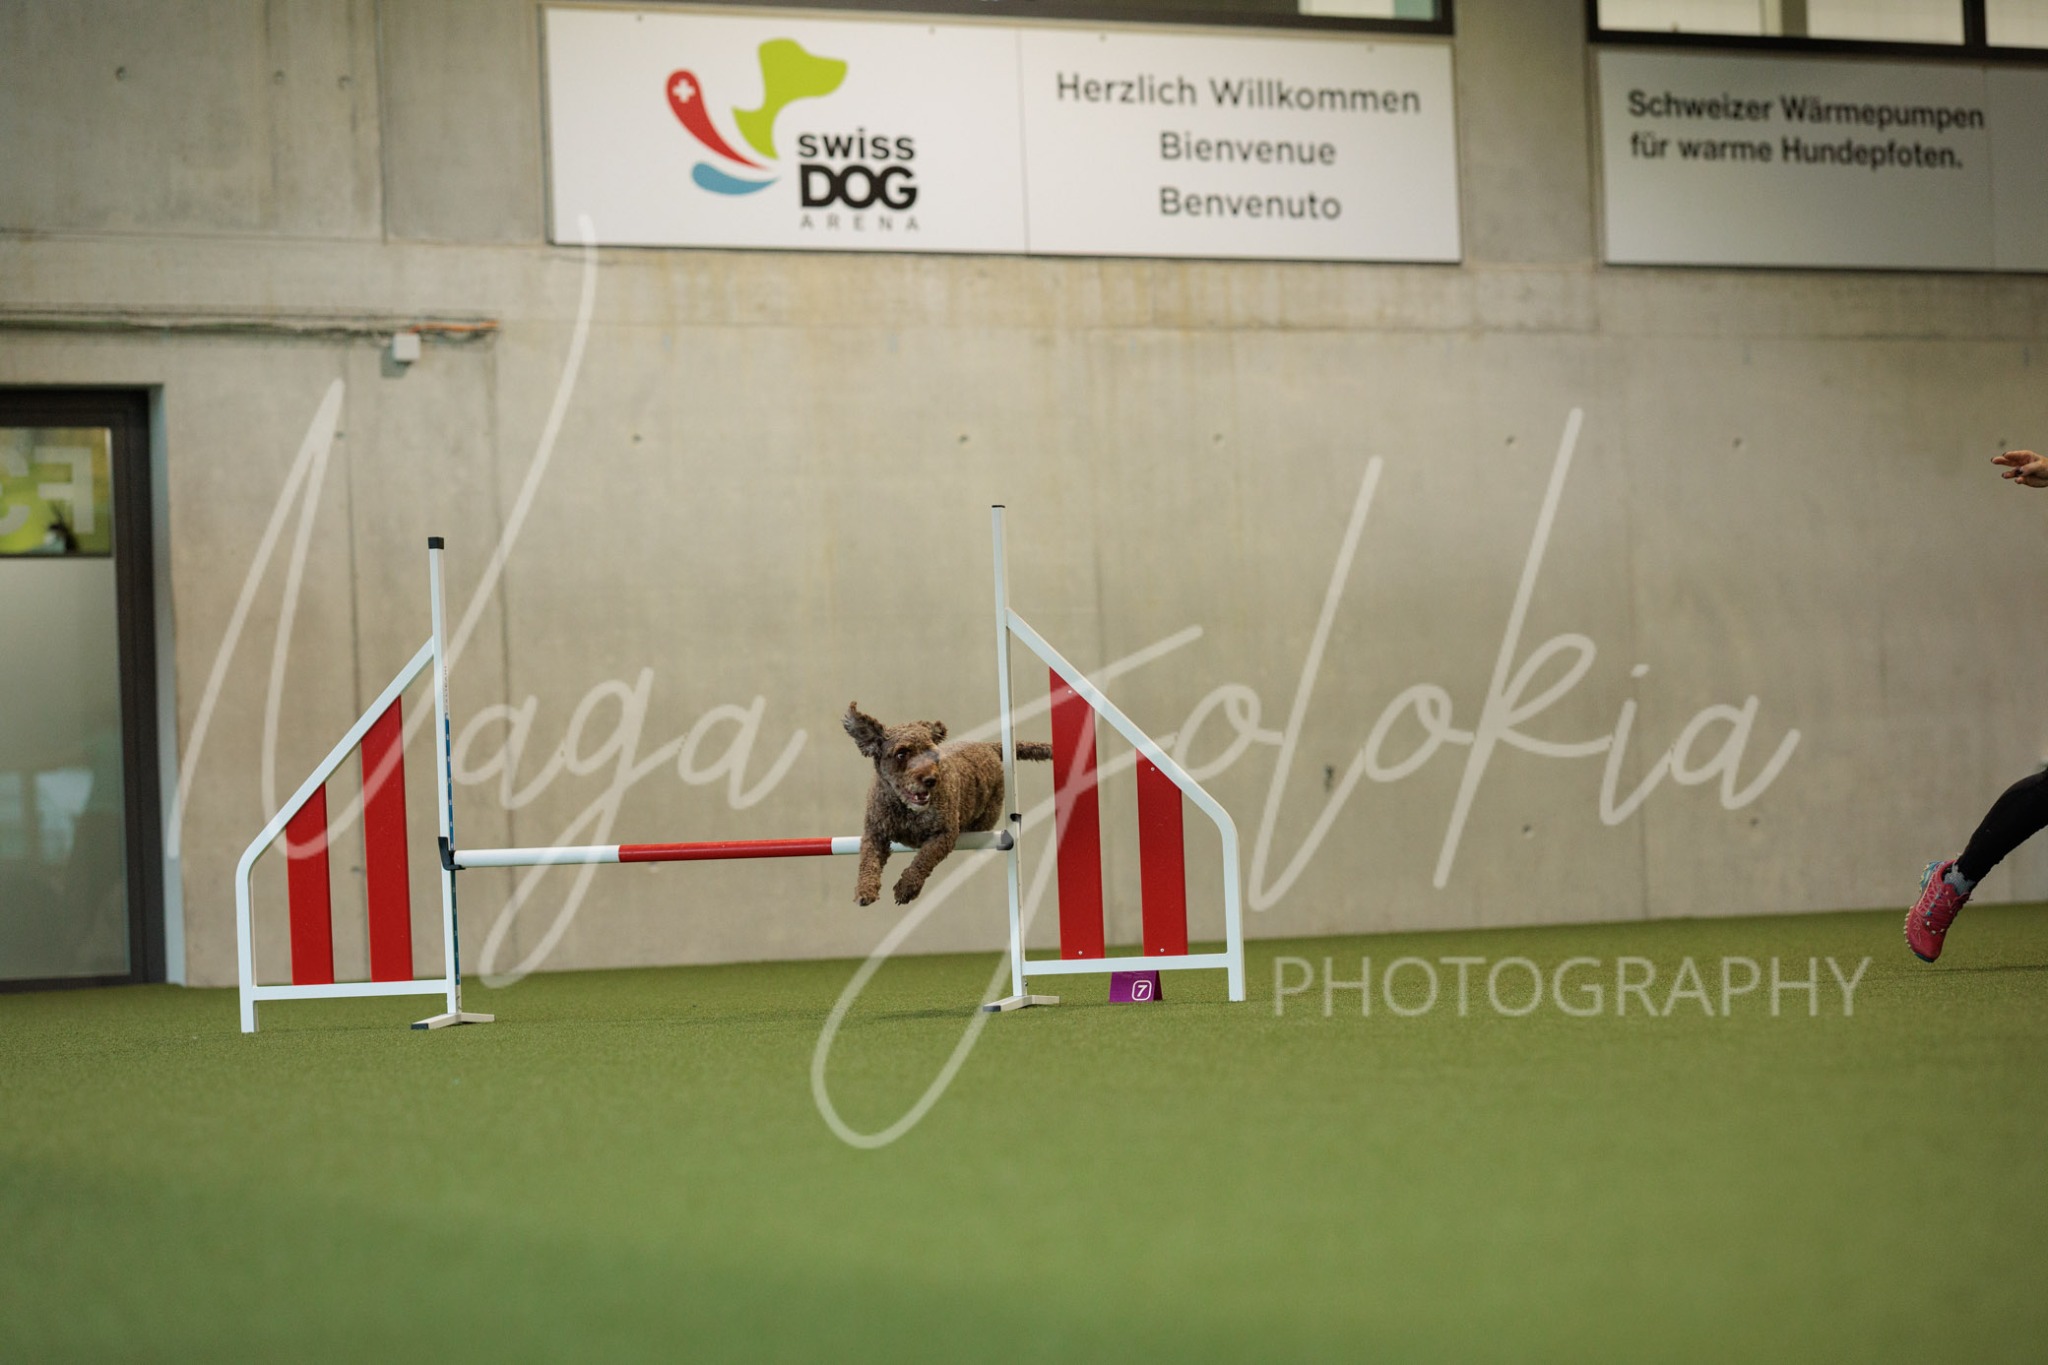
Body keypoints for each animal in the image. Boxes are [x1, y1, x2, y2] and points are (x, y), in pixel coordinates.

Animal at [843, 702, 1052, 905]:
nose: (930, 779)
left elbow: (924, 858)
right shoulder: (875, 833)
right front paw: (865, 890)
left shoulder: (944, 834)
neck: (906, 810)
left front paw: (906, 887)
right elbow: (868, 861)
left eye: (931, 754)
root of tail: (988, 746)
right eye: (901, 754)